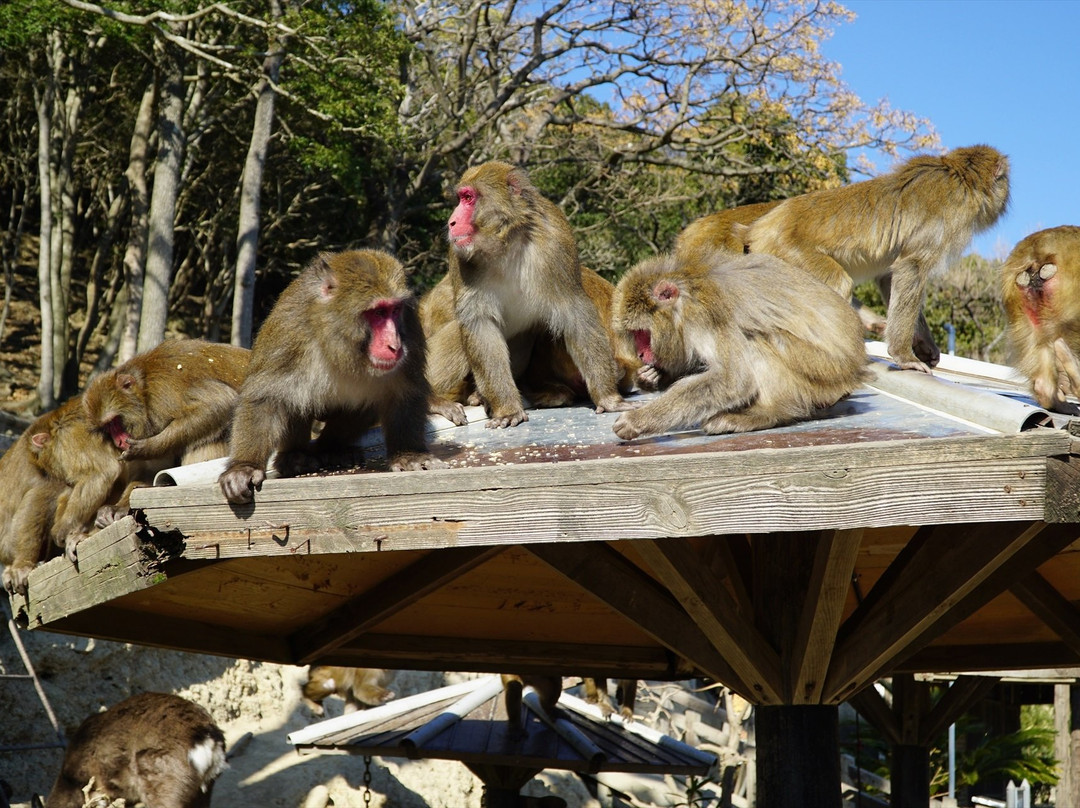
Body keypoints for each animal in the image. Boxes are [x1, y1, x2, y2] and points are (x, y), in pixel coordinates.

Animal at [219, 247, 442, 505]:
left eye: (394, 311)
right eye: (378, 312)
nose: (394, 346)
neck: (337, 340)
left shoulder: (410, 327)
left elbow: (405, 391)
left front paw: (409, 454)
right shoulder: (288, 330)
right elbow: (266, 397)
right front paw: (243, 467)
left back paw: (332, 448)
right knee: (295, 399)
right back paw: (294, 457)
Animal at [427, 159, 635, 429]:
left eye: (469, 198)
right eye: (461, 198)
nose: (451, 222)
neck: (506, 243)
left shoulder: (556, 240)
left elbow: (574, 313)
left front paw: (609, 398)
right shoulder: (459, 255)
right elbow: (479, 323)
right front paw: (507, 409)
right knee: (457, 332)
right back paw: (434, 399)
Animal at [609, 252, 868, 442]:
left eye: (642, 333)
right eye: (635, 335)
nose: (641, 353)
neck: (687, 292)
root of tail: (857, 369)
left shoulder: (706, 316)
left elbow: (733, 378)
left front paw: (639, 420)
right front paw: (651, 377)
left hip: (824, 372)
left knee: (756, 340)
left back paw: (768, 412)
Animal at [738, 144, 1006, 371]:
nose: (1004, 200)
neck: (962, 177)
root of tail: (759, 228)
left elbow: (889, 277)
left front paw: (924, 345)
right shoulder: (954, 213)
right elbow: (911, 267)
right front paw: (904, 356)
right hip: (789, 250)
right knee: (838, 284)